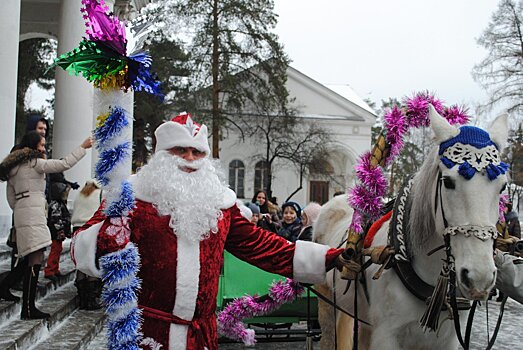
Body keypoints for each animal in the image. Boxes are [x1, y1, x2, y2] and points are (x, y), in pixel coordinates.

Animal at [314, 107, 510, 350]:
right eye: (448, 181)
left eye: (502, 186)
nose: (479, 277)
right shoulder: (387, 335)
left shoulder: (448, 340)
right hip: (327, 302)